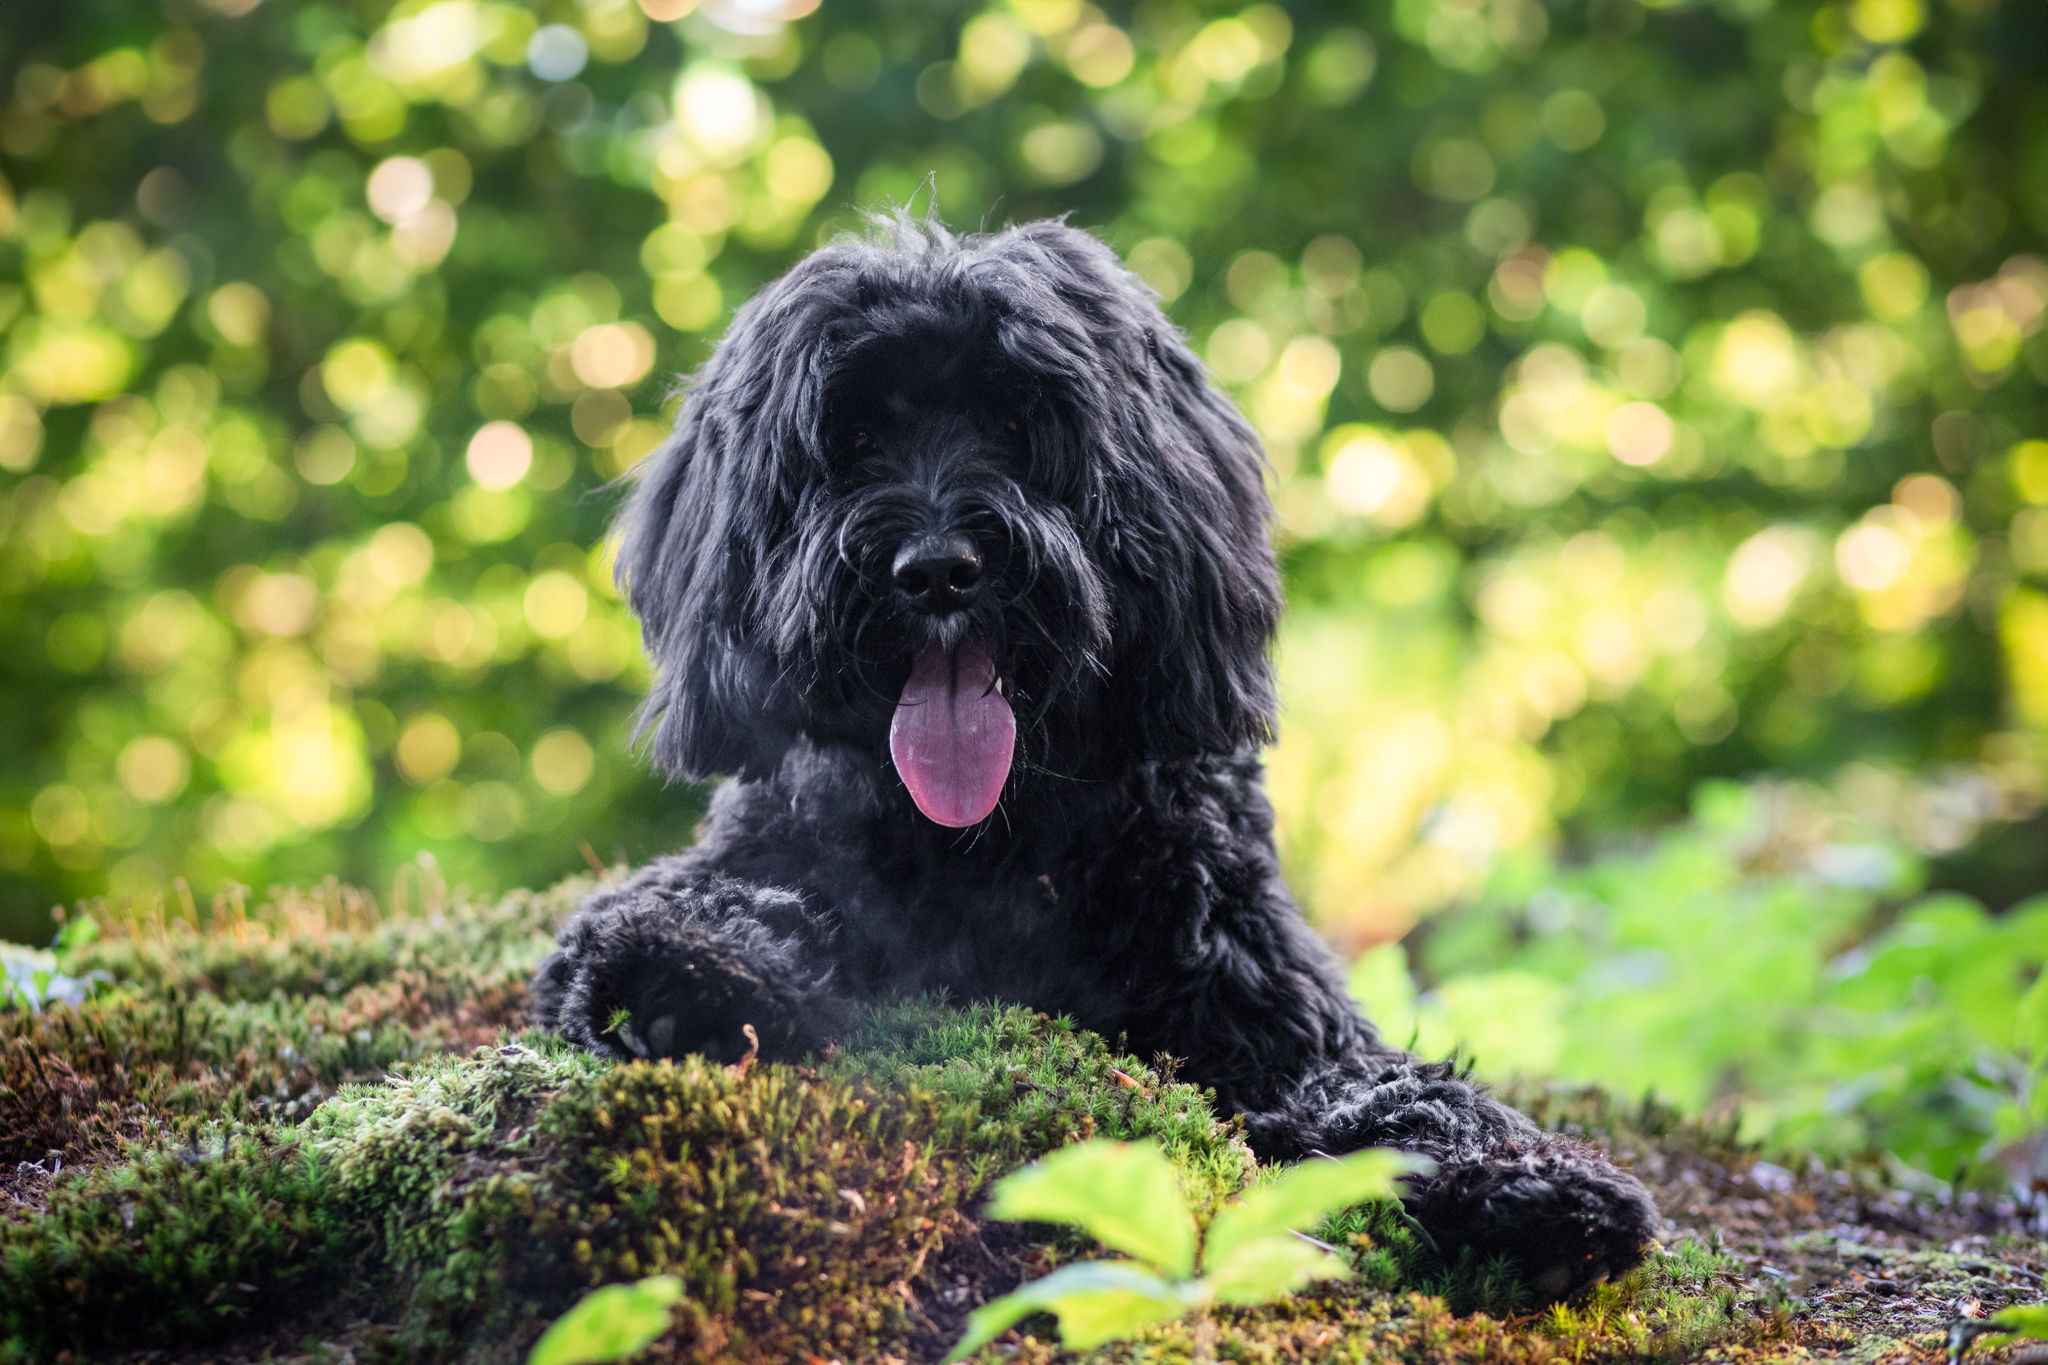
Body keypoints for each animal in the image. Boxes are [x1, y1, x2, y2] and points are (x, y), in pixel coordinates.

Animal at [536, 215, 1654, 1301]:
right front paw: (685, 971)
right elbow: (691, 906)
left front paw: (1525, 1183)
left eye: (1018, 426)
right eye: (851, 440)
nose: (936, 569)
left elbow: (1393, 1087)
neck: (990, 845)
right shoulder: (763, 855)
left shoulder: (1272, 1003)